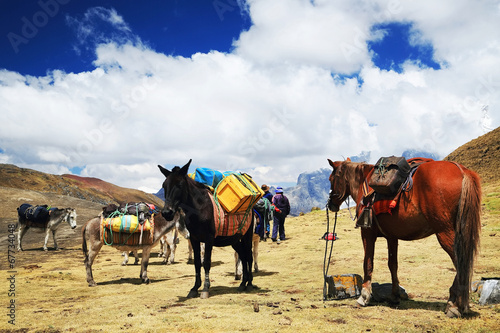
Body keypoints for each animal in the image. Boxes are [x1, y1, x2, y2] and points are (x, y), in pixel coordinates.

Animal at [326, 158, 482, 316]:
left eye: (331, 179)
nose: (330, 204)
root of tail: (462, 170)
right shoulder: (391, 237)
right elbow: (393, 264)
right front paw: (394, 296)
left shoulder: (367, 233)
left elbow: (368, 263)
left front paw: (364, 297)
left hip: (445, 233)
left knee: (461, 264)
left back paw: (454, 305)